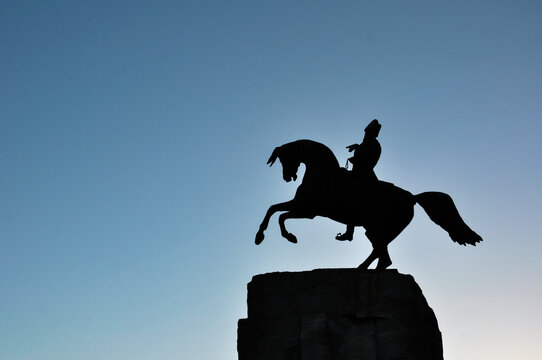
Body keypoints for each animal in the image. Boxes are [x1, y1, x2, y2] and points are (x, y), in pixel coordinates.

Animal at [256, 139, 484, 268]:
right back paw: (360, 268)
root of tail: (412, 197)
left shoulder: (308, 210)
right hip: (377, 231)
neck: (322, 175)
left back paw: (361, 271)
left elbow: (280, 215)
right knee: (381, 255)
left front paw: (287, 237)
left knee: (383, 257)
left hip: (377, 228)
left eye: (285, 158)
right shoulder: (300, 205)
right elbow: (273, 209)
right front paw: (262, 236)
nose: (288, 177)